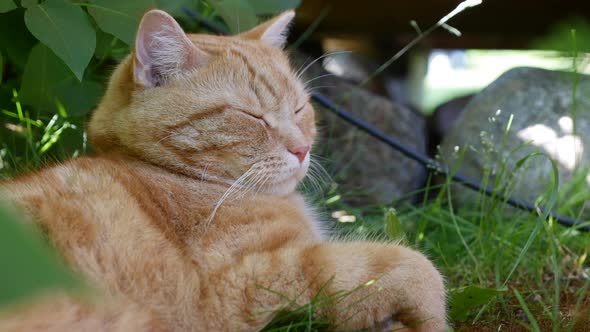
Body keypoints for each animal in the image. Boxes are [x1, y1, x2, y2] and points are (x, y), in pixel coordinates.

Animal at [0, 9, 444, 330]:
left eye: (299, 108)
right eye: (252, 116)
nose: (302, 149)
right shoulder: (243, 284)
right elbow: (416, 265)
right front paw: (430, 319)